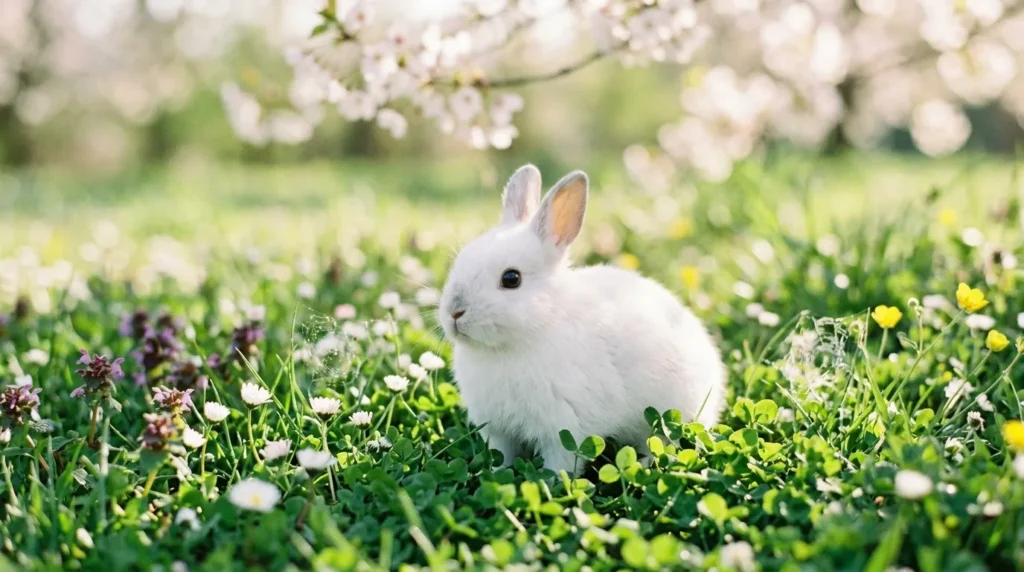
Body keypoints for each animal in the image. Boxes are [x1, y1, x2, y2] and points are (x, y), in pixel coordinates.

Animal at [438, 164, 726, 474]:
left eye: (511, 279)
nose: (454, 311)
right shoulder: (498, 431)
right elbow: (501, 457)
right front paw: (493, 474)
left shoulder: (564, 429)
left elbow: (561, 465)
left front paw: (551, 481)